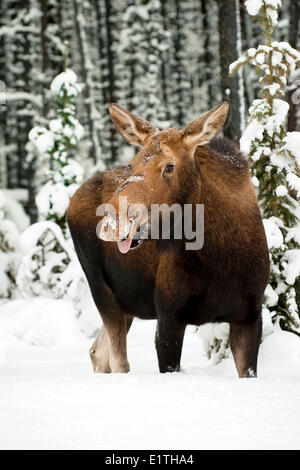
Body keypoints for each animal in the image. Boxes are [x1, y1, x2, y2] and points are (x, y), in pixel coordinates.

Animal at [67, 103, 270, 378]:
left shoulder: (250, 315)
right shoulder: (168, 314)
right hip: (101, 289)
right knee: (119, 362)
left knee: (98, 351)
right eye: (131, 164)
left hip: (128, 301)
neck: (221, 258)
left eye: (169, 166)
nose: (113, 222)